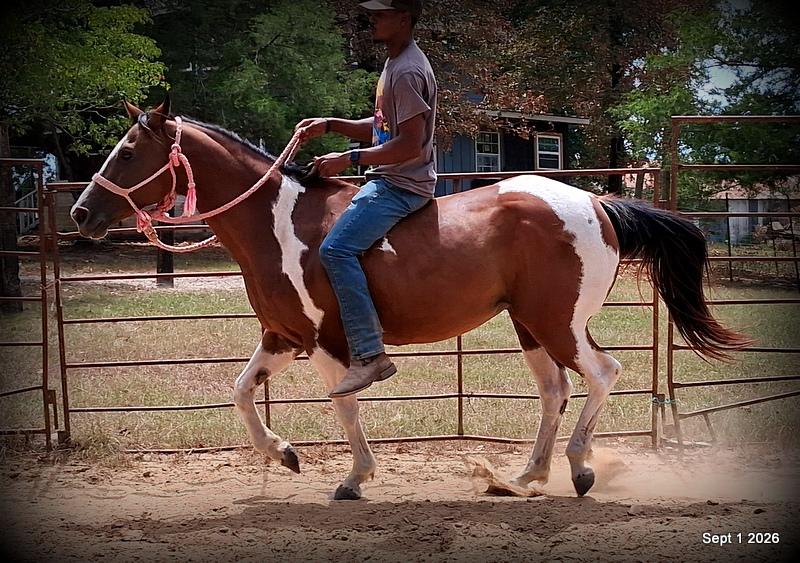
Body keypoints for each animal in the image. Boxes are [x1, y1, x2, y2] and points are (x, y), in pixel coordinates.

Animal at [70, 98, 750, 500]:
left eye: (128, 150)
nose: (80, 212)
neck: (279, 222)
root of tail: (595, 203)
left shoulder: (328, 343)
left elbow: (346, 408)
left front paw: (353, 477)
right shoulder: (283, 336)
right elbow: (239, 392)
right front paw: (284, 454)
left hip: (557, 322)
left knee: (603, 373)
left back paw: (579, 468)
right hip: (529, 324)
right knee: (555, 390)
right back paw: (524, 476)